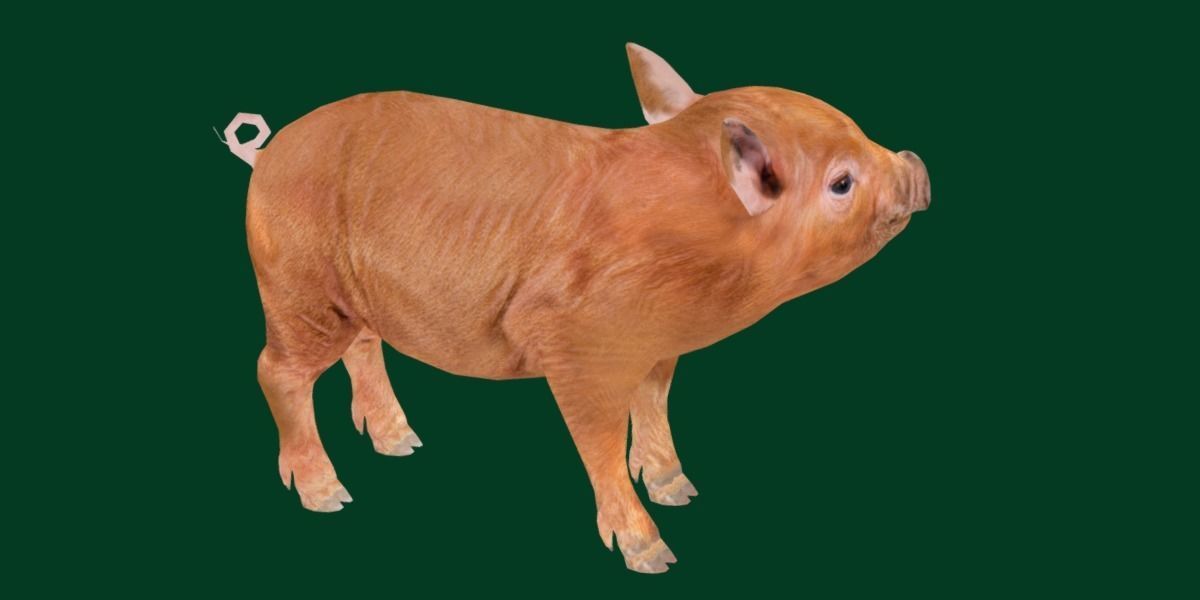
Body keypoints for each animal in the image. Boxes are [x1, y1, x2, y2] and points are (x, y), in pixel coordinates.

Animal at [227, 43, 930, 573]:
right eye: (842, 182)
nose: (915, 165)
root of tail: (266, 153)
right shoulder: (575, 345)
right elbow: (600, 442)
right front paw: (654, 555)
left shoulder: (659, 346)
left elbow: (655, 405)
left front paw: (680, 491)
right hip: (294, 289)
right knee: (275, 371)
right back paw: (330, 498)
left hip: (350, 300)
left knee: (362, 350)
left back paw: (404, 445)